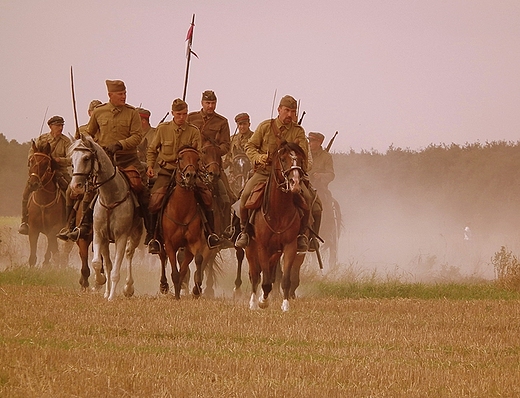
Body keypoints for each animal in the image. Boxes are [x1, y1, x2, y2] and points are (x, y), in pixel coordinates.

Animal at [69, 135, 143, 300]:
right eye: (72, 159)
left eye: (86, 158)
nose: (75, 186)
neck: (110, 198)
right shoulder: (98, 234)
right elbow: (98, 263)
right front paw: (100, 282)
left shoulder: (121, 237)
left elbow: (115, 270)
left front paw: (112, 297)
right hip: (104, 241)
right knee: (107, 263)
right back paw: (106, 291)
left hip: (135, 235)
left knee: (129, 255)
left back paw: (128, 288)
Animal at [159, 146, 206, 298]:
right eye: (180, 158)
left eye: (197, 159)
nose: (190, 175)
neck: (181, 211)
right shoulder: (170, 244)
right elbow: (174, 271)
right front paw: (176, 296)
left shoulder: (193, 243)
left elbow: (197, 260)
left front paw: (196, 288)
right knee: (162, 257)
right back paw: (164, 285)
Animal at [246, 141, 306, 312]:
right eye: (283, 159)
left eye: (300, 160)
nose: (295, 183)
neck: (279, 210)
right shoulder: (262, 246)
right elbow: (264, 281)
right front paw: (262, 302)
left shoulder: (290, 246)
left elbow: (285, 279)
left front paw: (285, 305)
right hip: (250, 248)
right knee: (255, 275)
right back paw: (253, 302)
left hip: (275, 252)